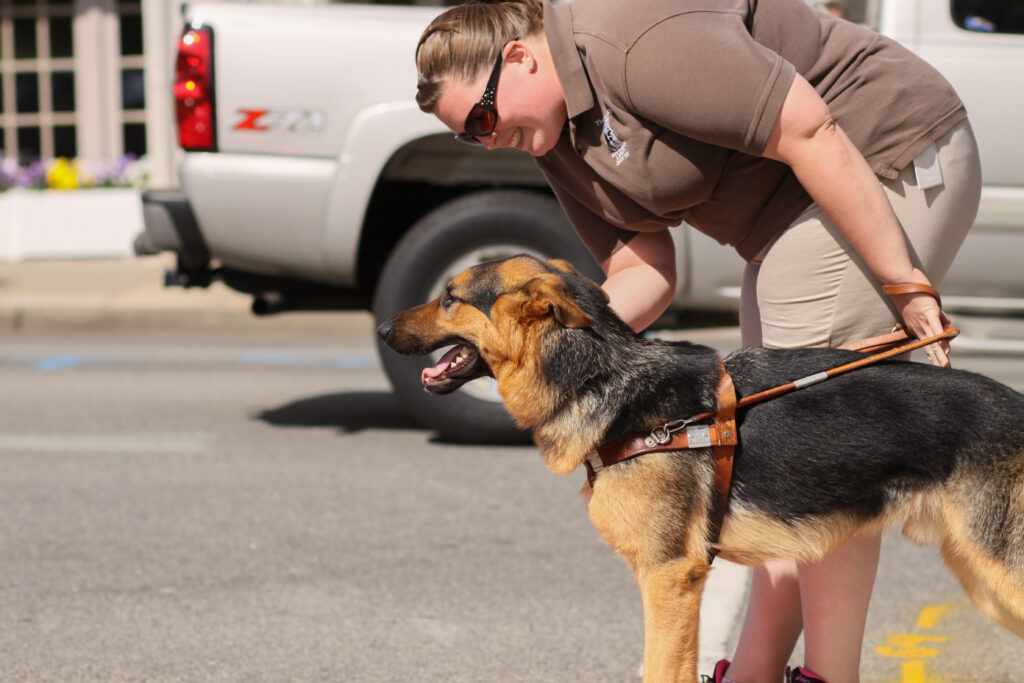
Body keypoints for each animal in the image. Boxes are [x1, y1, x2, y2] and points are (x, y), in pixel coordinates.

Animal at [378, 253, 1024, 679]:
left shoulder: (670, 577)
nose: (380, 327)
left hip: (1001, 574)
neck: (605, 378)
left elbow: (661, 669)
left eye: (450, 297)